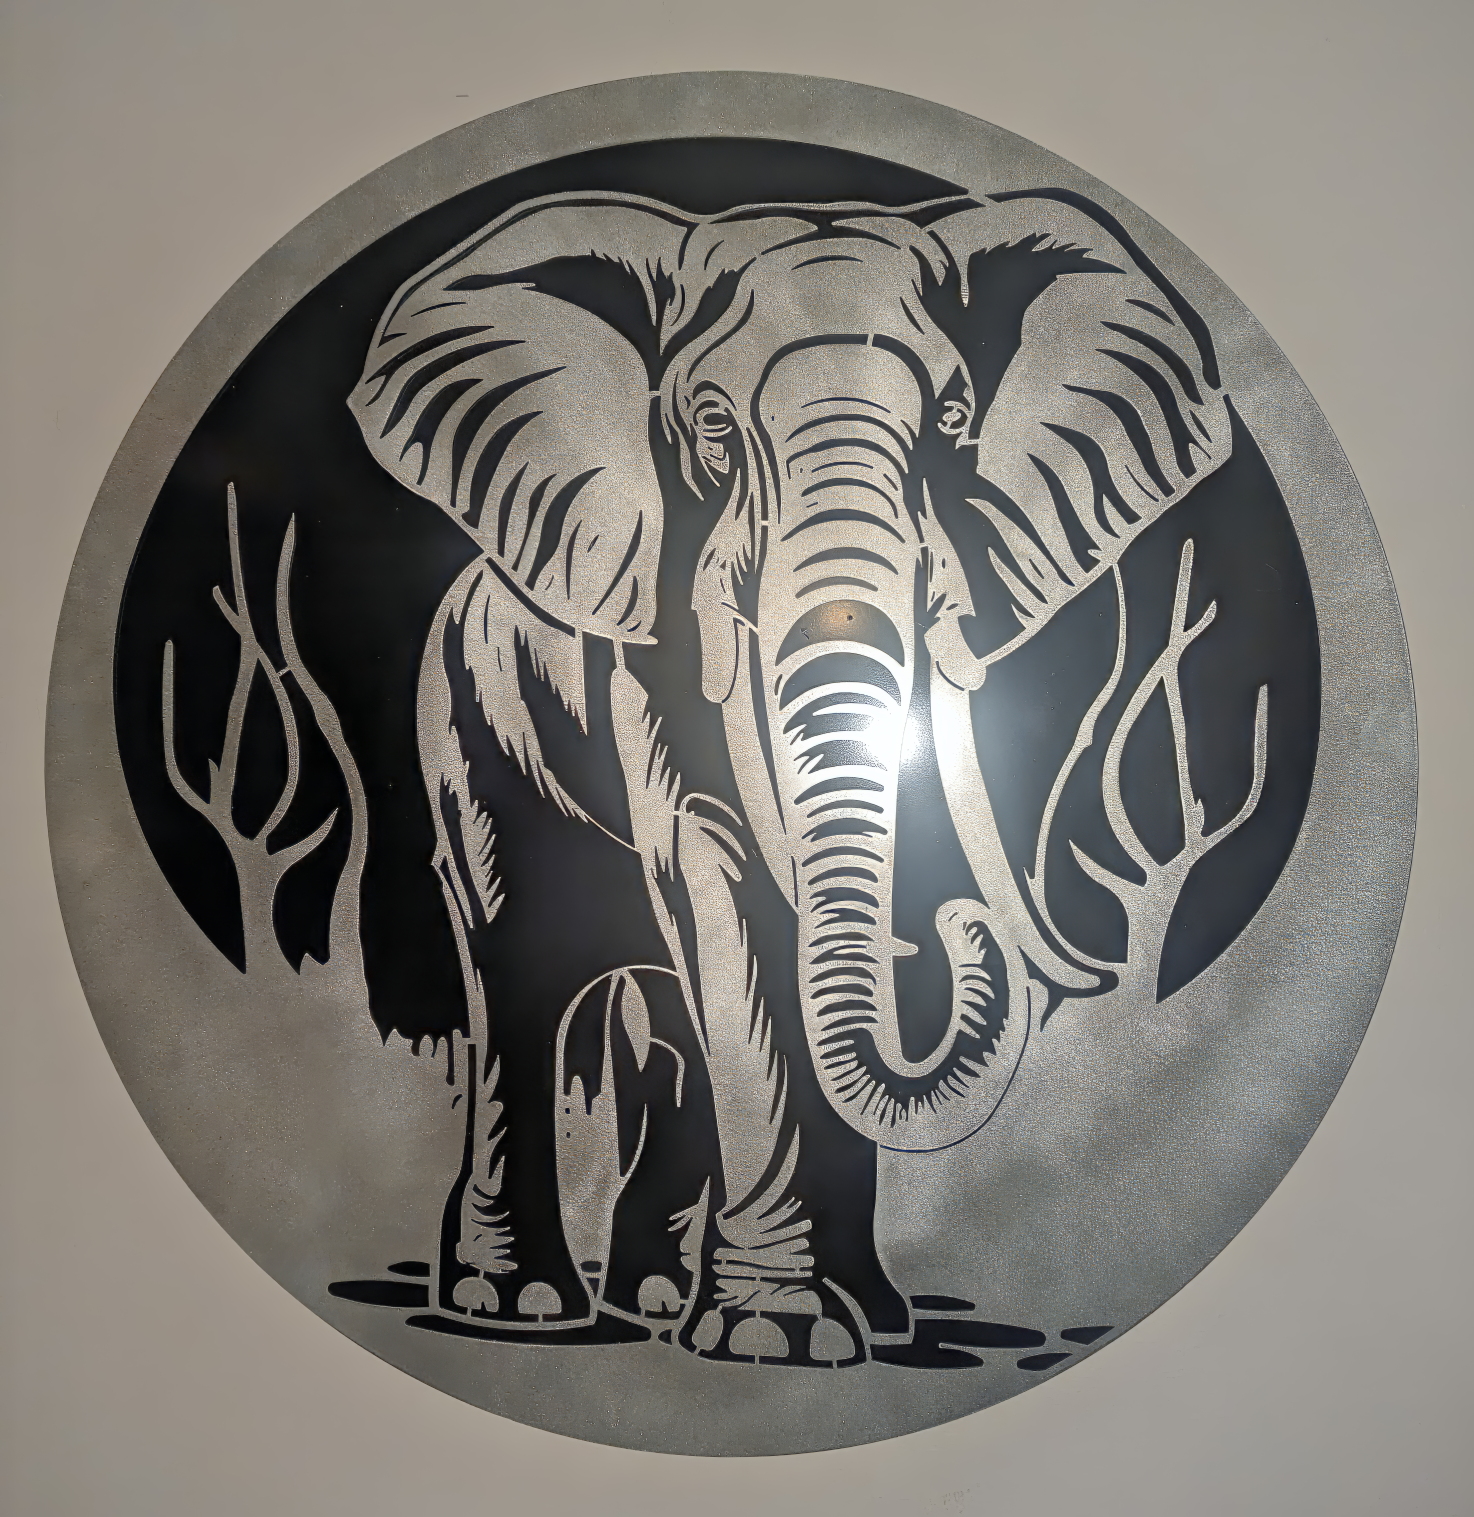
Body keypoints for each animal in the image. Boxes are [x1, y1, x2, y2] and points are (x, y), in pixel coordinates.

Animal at [348, 184, 1231, 1364]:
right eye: (713, 427)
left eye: (956, 417)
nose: (967, 933)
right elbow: (725, 872)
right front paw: (774, 1336)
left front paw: (871, 1322)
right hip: (465, 715)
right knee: (521, 959)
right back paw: (520, 1302)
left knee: (665, 1008)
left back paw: (653, 1298)